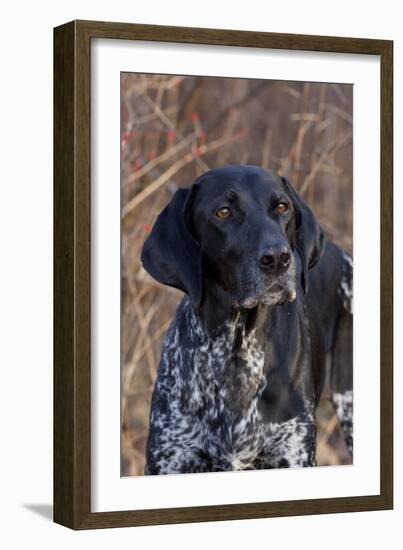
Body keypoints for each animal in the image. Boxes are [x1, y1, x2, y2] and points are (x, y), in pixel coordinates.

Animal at [140, 166, 352, 476]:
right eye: (224, 212)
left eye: (282, 207)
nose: (277, 258)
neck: (236, 352)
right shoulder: (170, 459)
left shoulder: (292, 452)